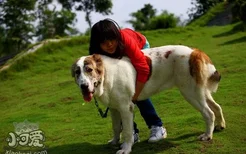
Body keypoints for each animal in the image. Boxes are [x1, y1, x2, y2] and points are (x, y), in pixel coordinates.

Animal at [70, 45, 225, 154]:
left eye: (89, 70)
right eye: (77, 72)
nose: (84, 86)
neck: (106, 75)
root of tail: (195, 51)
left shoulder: (126, 108)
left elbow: (127, 131)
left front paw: (126, 148)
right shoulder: (114, 108)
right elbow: (116, 127)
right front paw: (114, 141)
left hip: (190, 92)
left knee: (208, 113)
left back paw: (207, 136)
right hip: (200, 92)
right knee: (217, 106)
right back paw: (220, 125)